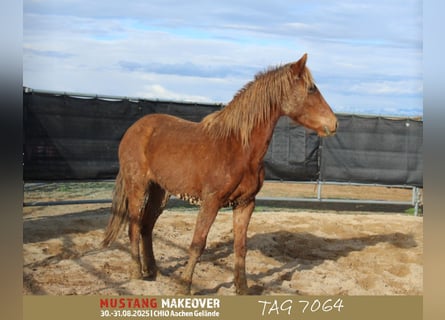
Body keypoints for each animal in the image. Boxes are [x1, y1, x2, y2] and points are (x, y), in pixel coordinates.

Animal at [101, 53, 336, 296]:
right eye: (311, 89)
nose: (334, 123)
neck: (238, 147)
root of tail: (133, 129)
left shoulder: (245, 203)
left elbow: (240, 247)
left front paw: (242, 288)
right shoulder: (211, 202)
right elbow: (198, 243)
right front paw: (184, 286)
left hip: (160, 192)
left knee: (147, 227)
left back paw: (153, 271)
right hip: (137, 187)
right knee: (134, 227)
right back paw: (136, 272)